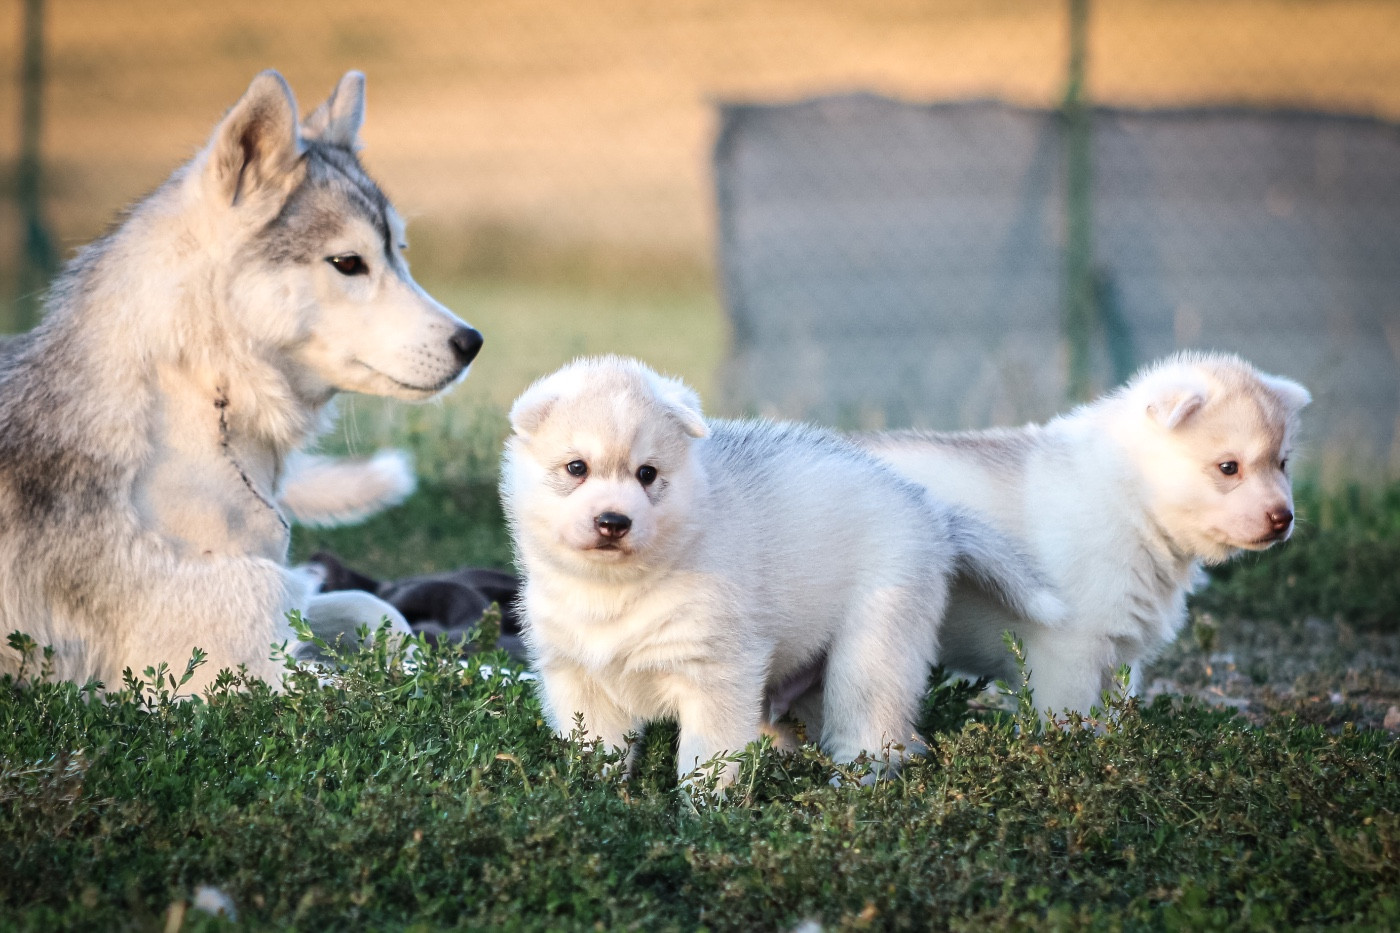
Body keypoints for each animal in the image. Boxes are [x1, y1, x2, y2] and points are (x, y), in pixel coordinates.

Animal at [0, 70, 481, 692]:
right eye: (349, 263)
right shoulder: (229, 677)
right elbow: (403, 683)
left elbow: (378, 610)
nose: (471, 343)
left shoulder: (287, 599)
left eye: (399, 253)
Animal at [501, 356, 1063, 788]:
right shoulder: (577, 680)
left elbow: (705, 762)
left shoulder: (717, 675)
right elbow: (596, 754)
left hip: (872, 653)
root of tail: (931, 511)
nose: (614, 522)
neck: (615, 591)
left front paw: (702, 819)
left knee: (876, 735)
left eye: (647, 474)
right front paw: (592, 801)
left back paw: (850, 788)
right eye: (576, 468)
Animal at [860, 352, 1310, 718]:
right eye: (1228, 467)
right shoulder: (1068, 656)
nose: (1283, 518)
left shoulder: (1120, 655)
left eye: (1283, 463)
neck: (1130, 499)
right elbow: (1069, 722)